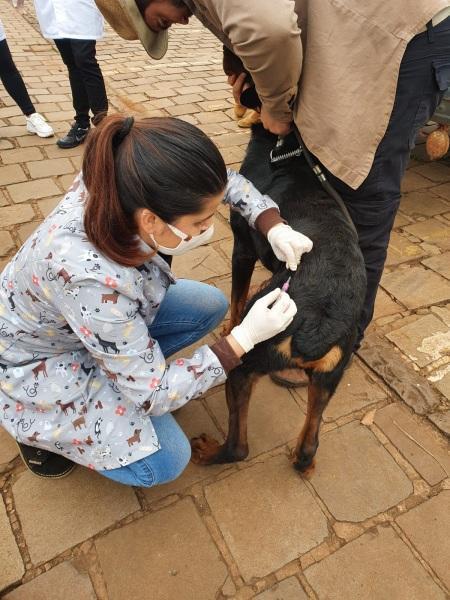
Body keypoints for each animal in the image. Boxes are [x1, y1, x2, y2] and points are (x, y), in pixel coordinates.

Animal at [192, 125, 368, 474]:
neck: (286, 149)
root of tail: (319, 323)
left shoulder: (242, 249)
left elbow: (237, 296)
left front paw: (230, 326)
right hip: (329, 377)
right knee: (310, 443)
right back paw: (303, 461)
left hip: (244, 366)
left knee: (239, 446)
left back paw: (210, 452)